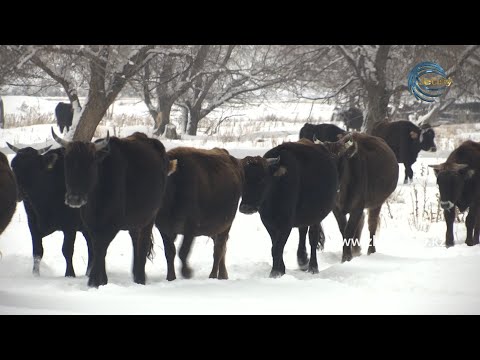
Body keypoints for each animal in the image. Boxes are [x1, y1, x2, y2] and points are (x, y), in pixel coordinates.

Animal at [6, 142, 93, 278]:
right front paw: (35, 275)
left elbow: (67, 250)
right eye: (13, 165)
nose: (17, 192)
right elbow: (37, 251)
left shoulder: (70, 226)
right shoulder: (32, 223)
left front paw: (69, 274)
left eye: (33, 167)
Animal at [155, 146, 244, 282]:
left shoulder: (190, 227)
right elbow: (169, 252)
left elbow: (183, 252)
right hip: (214, 229)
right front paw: (171, 277)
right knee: (221, 248)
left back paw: (214, 275)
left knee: (218, 249)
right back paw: (223, 275)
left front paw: (187, 272)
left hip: (226, 225)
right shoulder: (164, 229)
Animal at [239, 139, 338, 278]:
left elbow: (277, 247)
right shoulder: (268, 222)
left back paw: (313, 266)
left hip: (316, 216)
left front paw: (275, 272)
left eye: (262, 179)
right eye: (243, 180)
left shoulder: (286, 223)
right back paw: (302, 260)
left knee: (312, 238)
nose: (246, 208)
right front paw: (281, 269)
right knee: (302, 232)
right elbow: (275, 245)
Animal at [316, 132, 400, 262]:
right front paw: (349, 254)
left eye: (342, 158)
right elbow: (343, 229)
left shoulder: (357, 207)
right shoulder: (336, 208)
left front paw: (346, 257)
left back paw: (371, 250)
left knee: (371, 225)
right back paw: (356, 249)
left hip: (377, 204)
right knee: (361, 223)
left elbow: (349, 230)